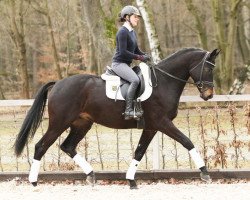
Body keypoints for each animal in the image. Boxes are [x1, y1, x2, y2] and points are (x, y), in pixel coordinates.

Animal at [14, 47, 220, 189]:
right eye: (209, 70)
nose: (208, 95)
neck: (164, 82)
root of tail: (57, 84)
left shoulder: (151, 127)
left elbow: (139, 152)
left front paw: (131, 180)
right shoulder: (163, 123)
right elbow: (187, 142)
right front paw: (205, 173)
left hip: (82, 123)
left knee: (68, 146)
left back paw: (91, 175)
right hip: (59, 123)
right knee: (41, 146)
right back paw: (33, 182)